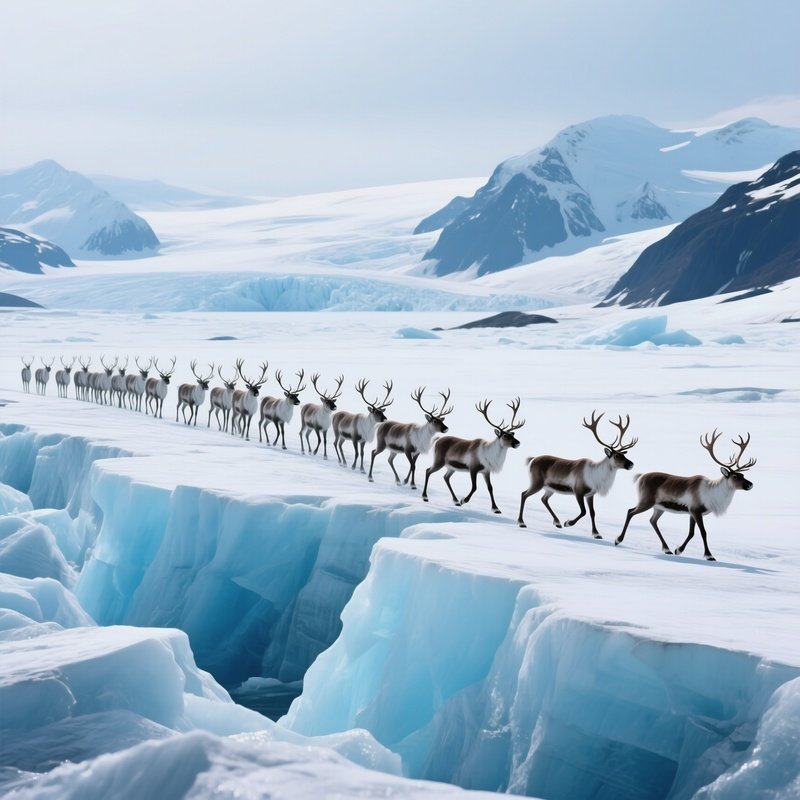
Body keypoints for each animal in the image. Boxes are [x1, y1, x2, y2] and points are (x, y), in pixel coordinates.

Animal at [615, 430, 756, 561]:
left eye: (743, 475)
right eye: (735, 476)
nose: (750, 484)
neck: (712, 494)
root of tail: (640, 476)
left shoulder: (691, 512)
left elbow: (691, 533)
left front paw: (678, 550)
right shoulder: (695, 510)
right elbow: (703, 532)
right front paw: (709, 555)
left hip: (659, 507)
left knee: (652, 521)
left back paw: (667, 549)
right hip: (646, 501)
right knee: (630, 511)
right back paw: (618, 540)